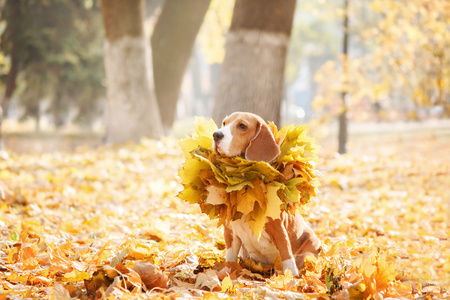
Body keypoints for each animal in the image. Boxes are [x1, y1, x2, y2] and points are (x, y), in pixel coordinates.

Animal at [212, 111, 320, 276]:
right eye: (224, 123)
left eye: (242, 126)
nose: (216, 135)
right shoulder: (230, 230)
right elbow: (230, 258)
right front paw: (226, 272)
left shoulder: (278, 228)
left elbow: (287, 257)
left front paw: (292, 279)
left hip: (311, 240)